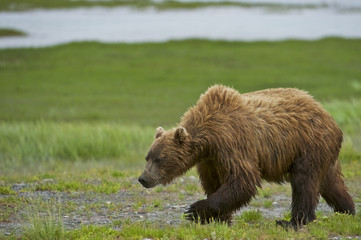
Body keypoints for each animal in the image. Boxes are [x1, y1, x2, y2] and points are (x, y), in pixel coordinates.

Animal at [139, 84, 354, 229]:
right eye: (147, 157)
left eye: (159, 159)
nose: (143, 178)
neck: (209, 138)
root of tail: (328, 115)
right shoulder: (210, 160)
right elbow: (214, 182)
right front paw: (219, 218)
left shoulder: (232, 142)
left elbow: (243, 179)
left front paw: (195, 211)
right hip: (323, 152)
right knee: (330, 183)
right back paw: (347, 210)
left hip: (309, 143)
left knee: (304, 181)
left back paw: (293, 221)